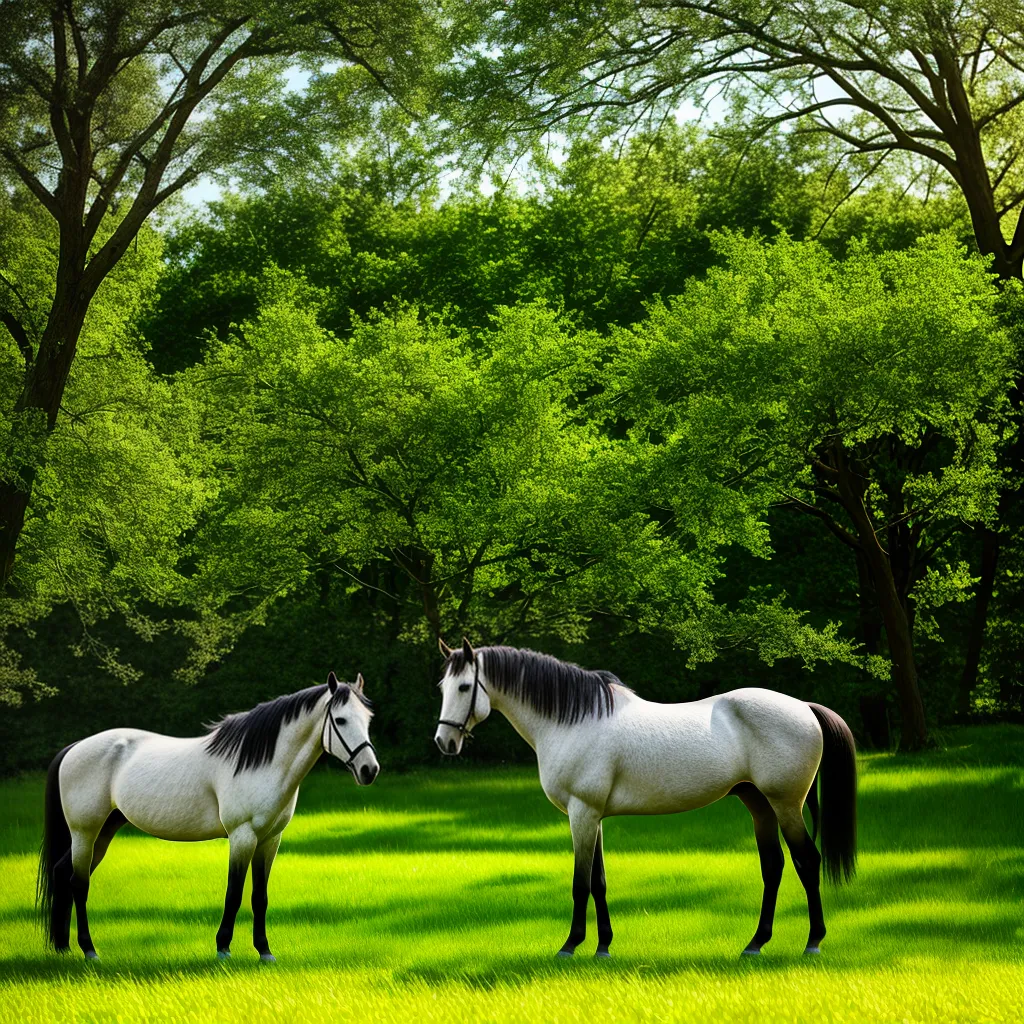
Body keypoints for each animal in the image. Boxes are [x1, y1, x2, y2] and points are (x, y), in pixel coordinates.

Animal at [37, 671, 378, 962]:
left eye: (368, 719)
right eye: (340, 720)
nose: (369, 770)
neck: (259, 762)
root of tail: (74, 748)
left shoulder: (269, 840)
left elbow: (259, 897)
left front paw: (264, 952)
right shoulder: (243, 836)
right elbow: (234, 894)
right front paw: (223, 949)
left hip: (104, 831)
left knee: (63, 874)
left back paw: (63, 947)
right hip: (85, 831)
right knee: (79, 883)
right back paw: (89, 950)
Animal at [434, 639, 856, 959]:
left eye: (463, 687)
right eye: (442, 687)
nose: (444, 741)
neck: (573, 721)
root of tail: (804, 707)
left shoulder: (581, 813)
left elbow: (580, 883)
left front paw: (570, 946)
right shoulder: (593, 816)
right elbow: (599, 882)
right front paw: (603, 947)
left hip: (785, 804)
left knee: (807, 861)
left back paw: (813, 942)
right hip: (759, 805)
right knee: (773, 867)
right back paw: (755, 944)